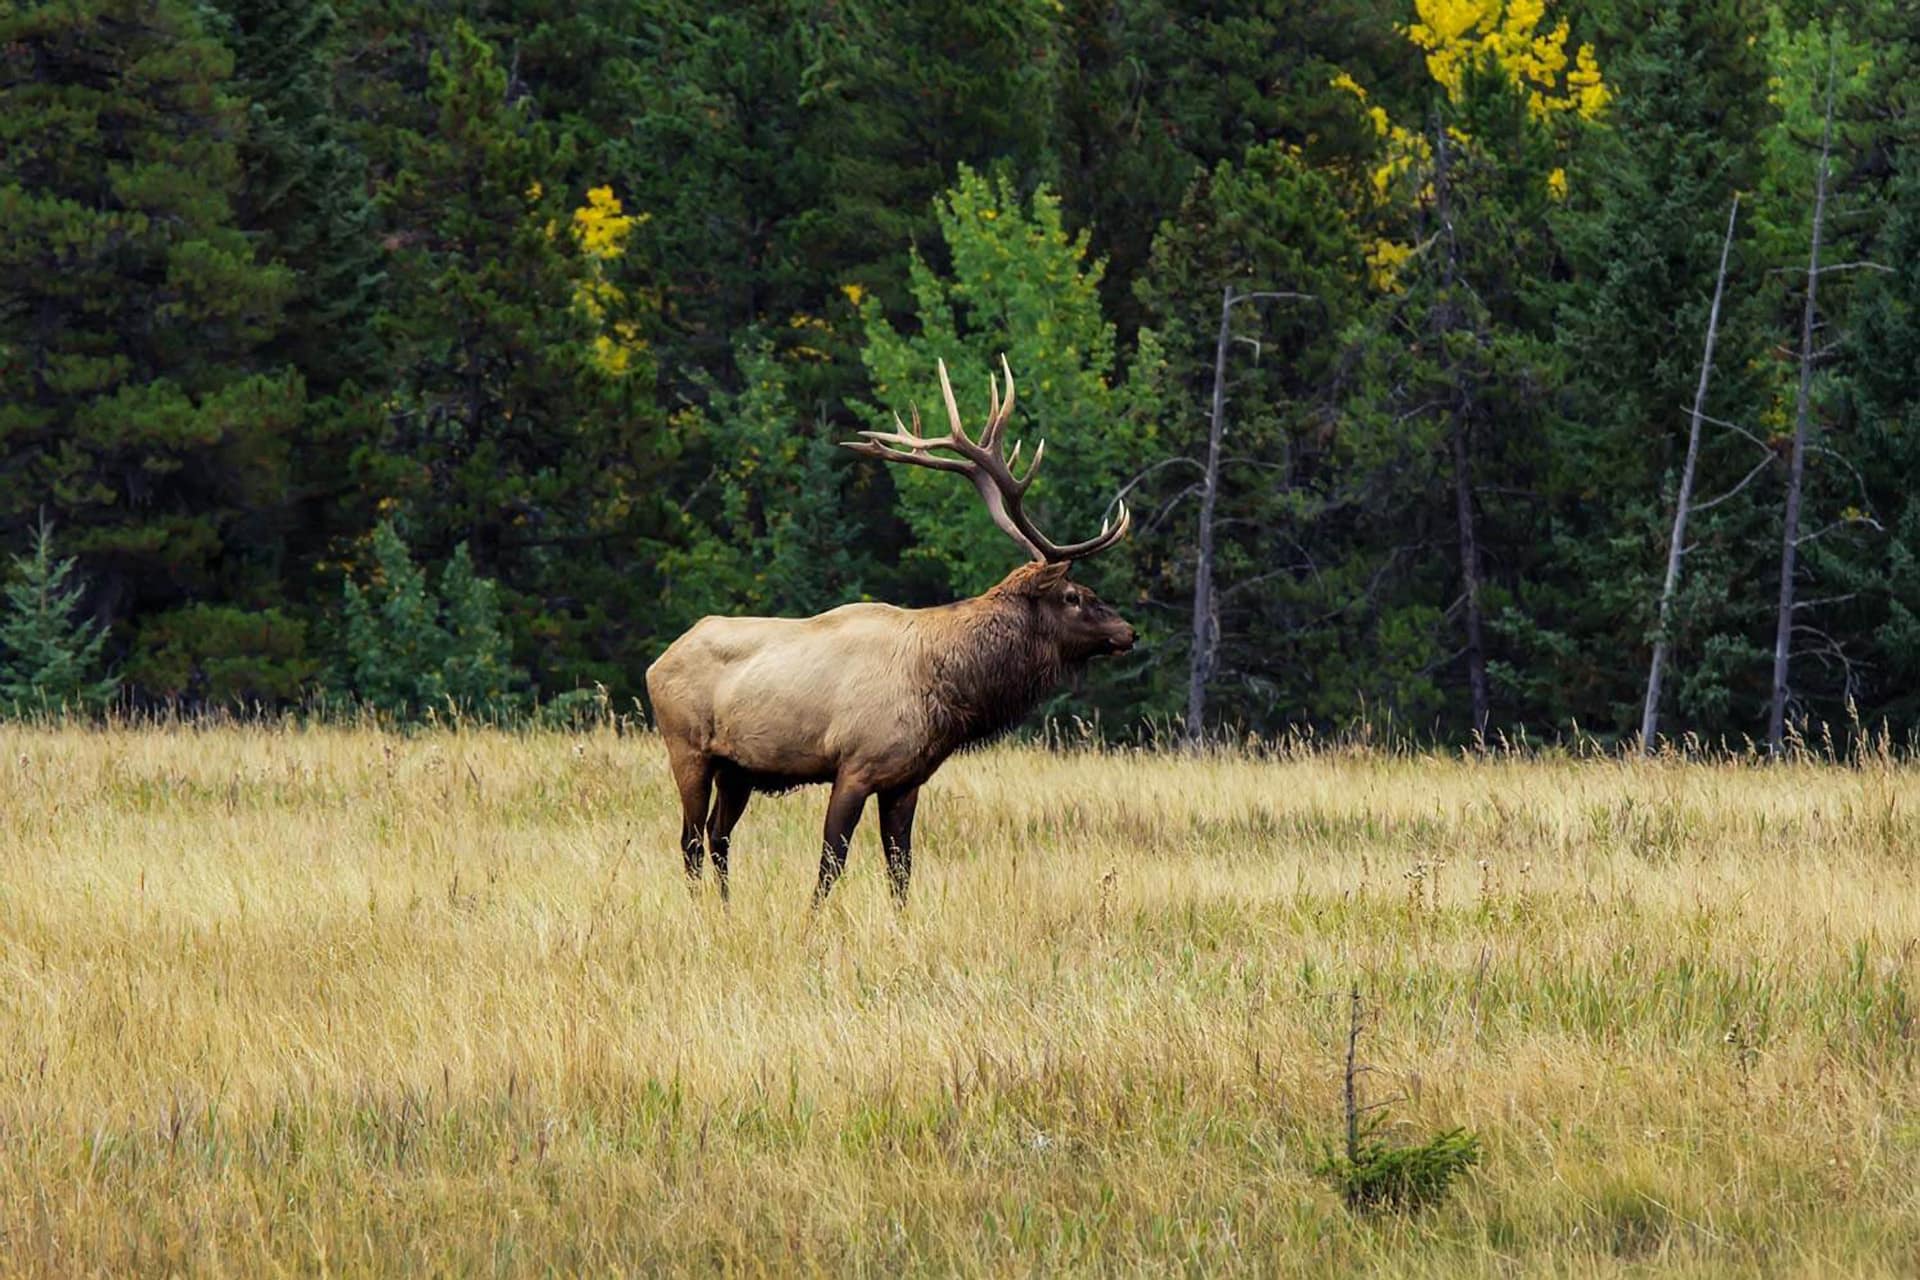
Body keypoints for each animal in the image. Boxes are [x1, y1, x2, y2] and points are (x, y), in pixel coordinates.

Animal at [645, 355, 1128, 905]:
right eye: (1073, 596)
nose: (1128, 631)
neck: (949, 689)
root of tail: (656, 663)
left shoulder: (906, 780)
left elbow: (901, 871)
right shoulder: (856, 764)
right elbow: (830, 863)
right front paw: (814, 922)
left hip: (738, 768)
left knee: (718, 836)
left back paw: (726, 909)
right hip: (687, 748)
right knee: (690, 839)